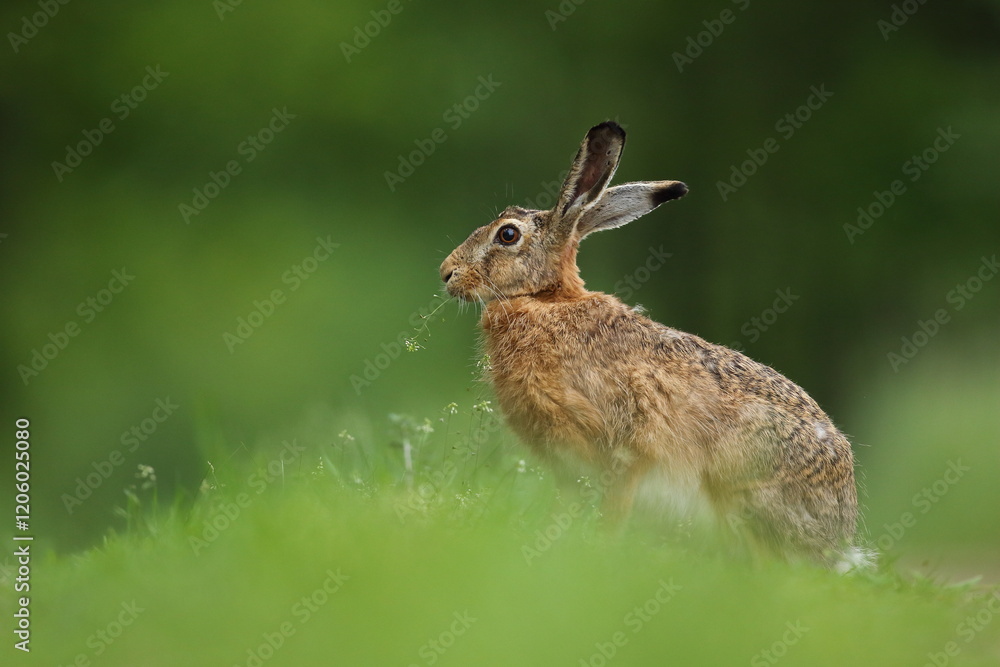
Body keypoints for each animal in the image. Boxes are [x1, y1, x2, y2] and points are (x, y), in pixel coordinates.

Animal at [439, 121, 865, 568]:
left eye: (507, 235)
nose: (446, 272)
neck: (546, 300)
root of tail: (836, 534)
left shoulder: (625, 449)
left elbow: (614, 509)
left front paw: (600, 552)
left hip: (744, 480)